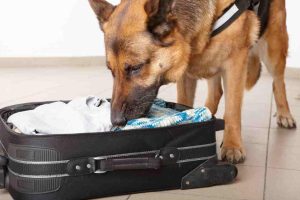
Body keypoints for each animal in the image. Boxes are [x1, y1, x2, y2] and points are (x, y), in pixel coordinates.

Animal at [88, 0, 296, 163]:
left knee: (278, 81)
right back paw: (207, 112)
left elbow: (233, 110)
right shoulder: (185, 70)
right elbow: (184, 102)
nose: (116, 121)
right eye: (111, 71)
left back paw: (284, 114)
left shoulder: (235, 62)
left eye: (135, 67)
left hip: (273, 47)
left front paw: (232, 145)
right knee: (216, 91)